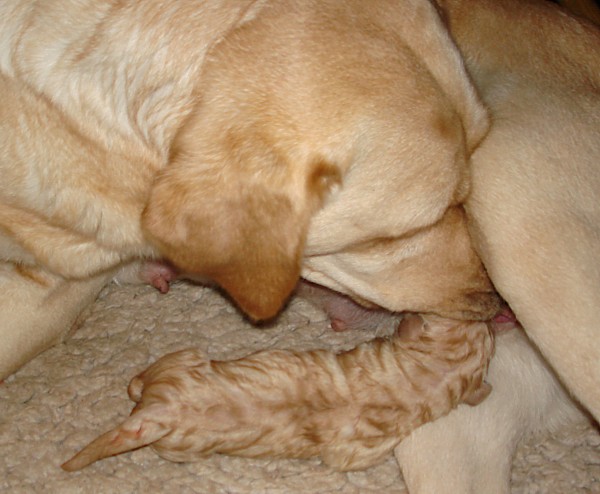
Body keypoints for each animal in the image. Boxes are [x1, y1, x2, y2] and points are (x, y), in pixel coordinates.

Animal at [61, 314, 494, 472]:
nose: (493, 315)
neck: (420, 377)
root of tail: (156, 415)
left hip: (180, 383)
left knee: (138, 383)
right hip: (185, 359)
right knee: (136, 381)